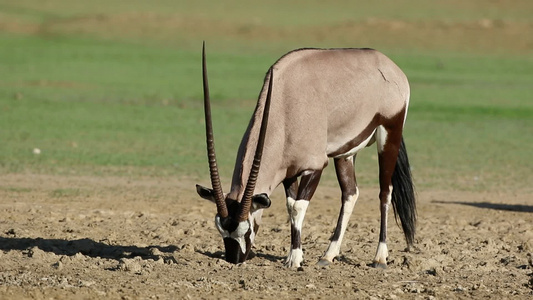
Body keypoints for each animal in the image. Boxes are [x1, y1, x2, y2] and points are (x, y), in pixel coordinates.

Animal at [195, 41, 416, 268]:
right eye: (221, 230)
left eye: (246, 228)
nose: (234, 260)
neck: (285, 103)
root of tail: (391, 67)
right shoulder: (289, 171)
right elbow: (290, 206)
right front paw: (294, 255)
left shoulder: (315, 166)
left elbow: (298, 208)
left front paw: (294, 259)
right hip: (346, 152)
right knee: (350, 193)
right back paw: (327, 256)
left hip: (389, 134)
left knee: (385, 192)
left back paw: (380, 257)